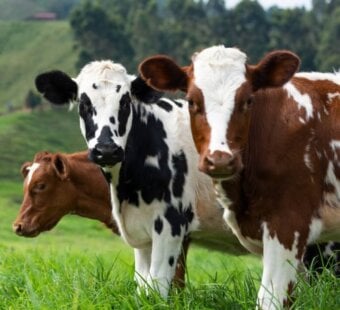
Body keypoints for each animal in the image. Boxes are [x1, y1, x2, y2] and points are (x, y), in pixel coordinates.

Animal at [33, 61, 244, 298]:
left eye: (125, 102)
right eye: (83, 103)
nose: (106, 150)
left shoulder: (172, 223)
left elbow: (159, 286)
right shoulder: (142, 235)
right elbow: (143, 287)